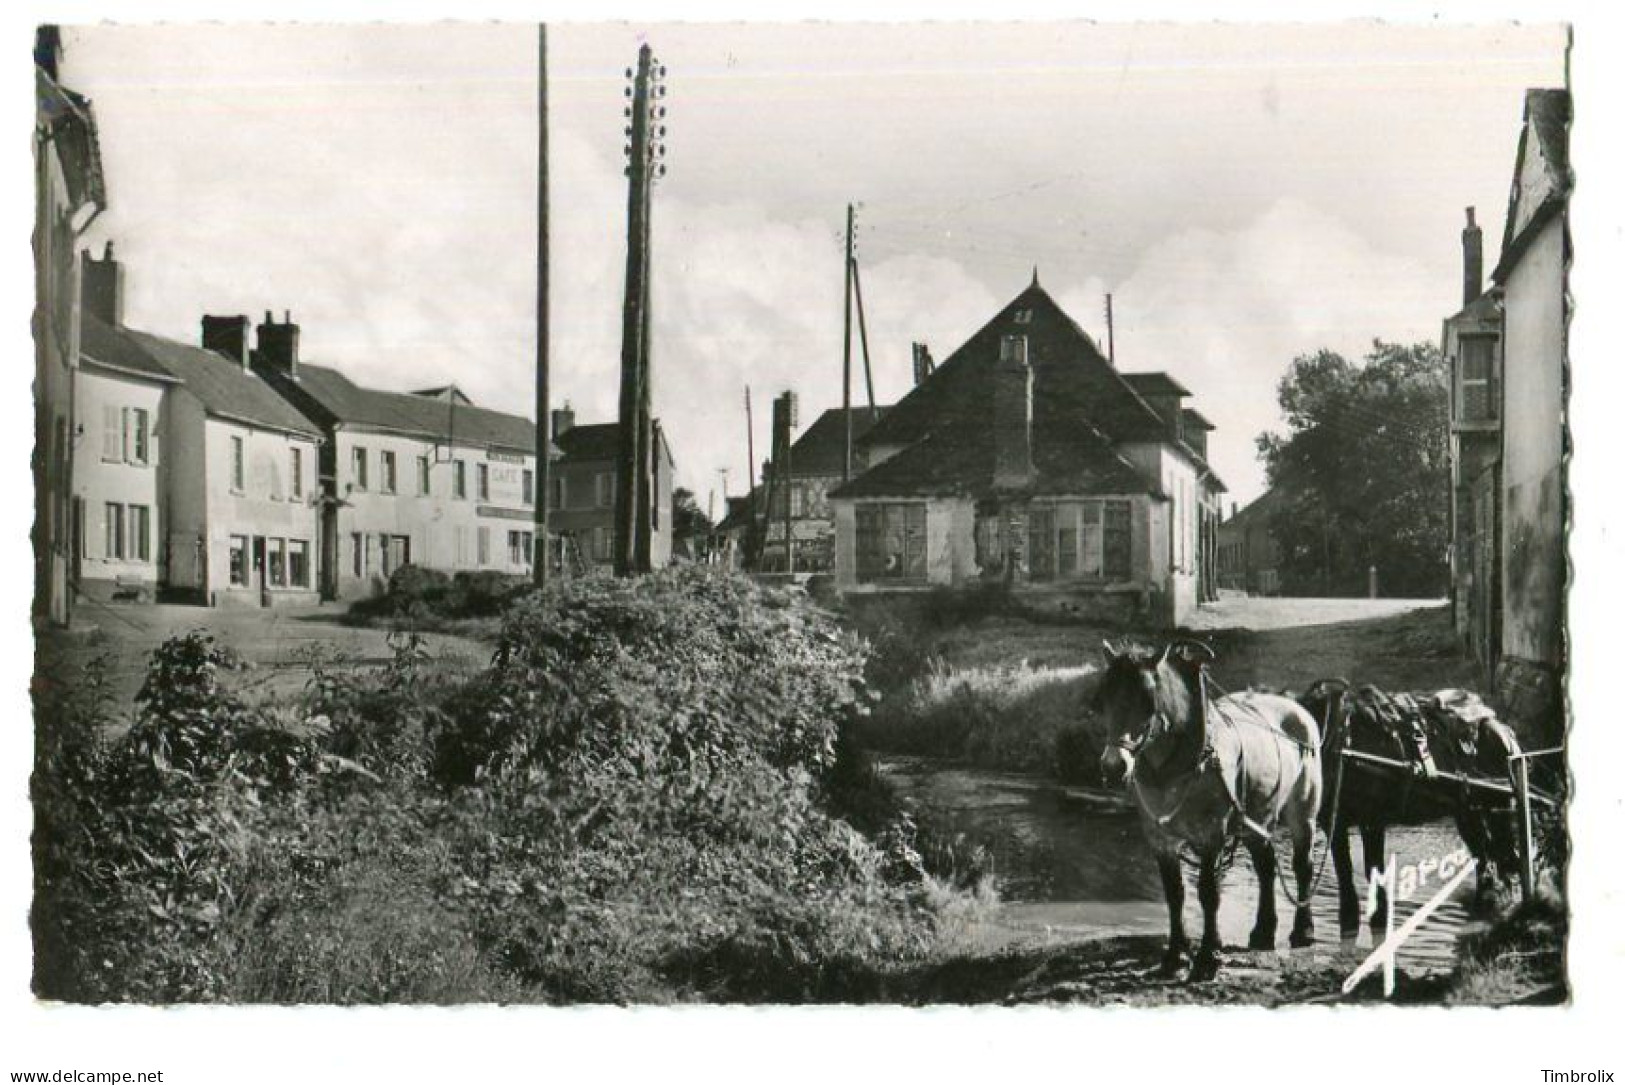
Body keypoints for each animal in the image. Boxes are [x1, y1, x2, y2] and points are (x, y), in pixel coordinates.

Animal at [1293, 678, 1521, 942]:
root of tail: (1504, 730)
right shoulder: (1334, 823)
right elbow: (1342, 875)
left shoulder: (1372, 820)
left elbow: (1374, 871)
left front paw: (1379, 920)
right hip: (1468, 812)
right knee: (1486, 858)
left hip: (1499, 809)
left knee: (1508, 858)